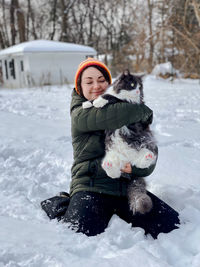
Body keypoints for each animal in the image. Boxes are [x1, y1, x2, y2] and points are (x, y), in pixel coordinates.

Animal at [82, 70, 157, 216]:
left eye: (140, 87)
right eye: (133, 85)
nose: (138, 91)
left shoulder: (129, 103)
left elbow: (112, 97)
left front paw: (99, 102)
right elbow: (106, 96)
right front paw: (87, 103)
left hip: (145, 145)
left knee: (141, 162)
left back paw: (147, 157)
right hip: (113, 155)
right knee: (114, 173)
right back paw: (109, 165)